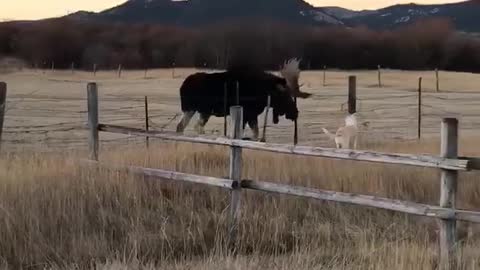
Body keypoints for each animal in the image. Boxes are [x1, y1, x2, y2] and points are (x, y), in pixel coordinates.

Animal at [176, 58, 312, 140]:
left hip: (202, 111)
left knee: (186, 126)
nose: (295, 113)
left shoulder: (251, 115)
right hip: (193, 108)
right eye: (284, 96)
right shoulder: (248, 114)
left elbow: (255, 134)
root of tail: (183, 85)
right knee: (190, 126)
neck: (263, 91)